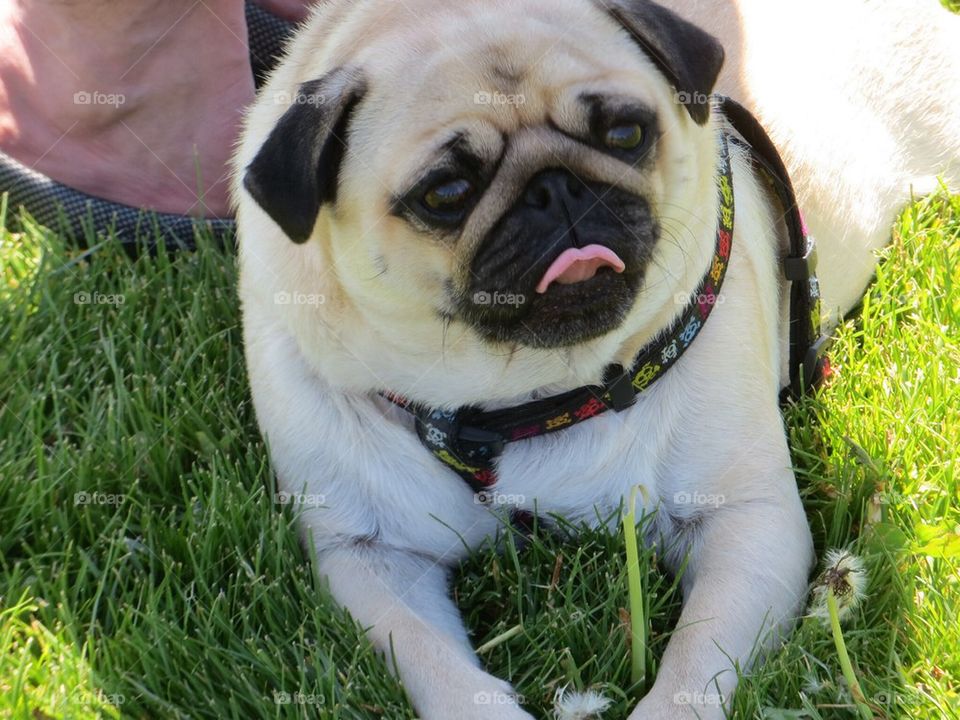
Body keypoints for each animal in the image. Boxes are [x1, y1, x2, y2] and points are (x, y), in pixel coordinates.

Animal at [234, 2, 960, 716]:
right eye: (444, 194)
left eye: (626, 134)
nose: (555, 189)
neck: (525, 400)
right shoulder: (367, 556)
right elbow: (436, 666)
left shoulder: (747, 520)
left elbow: (693, 673)